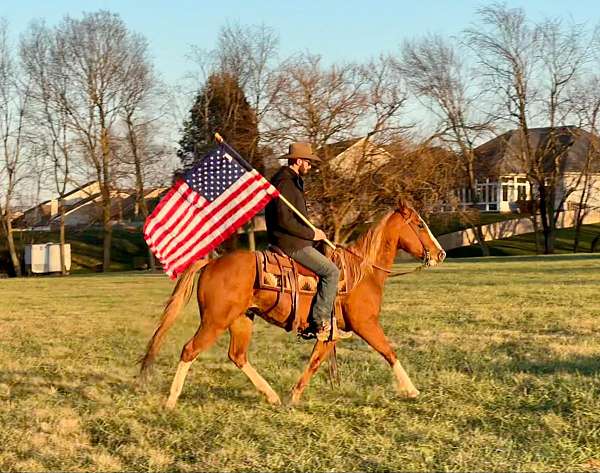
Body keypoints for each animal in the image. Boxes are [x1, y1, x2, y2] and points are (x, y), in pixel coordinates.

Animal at [141, 199, 446, 406]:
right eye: (420, 225)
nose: (441, 253)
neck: (362, 272)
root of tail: (212, 262)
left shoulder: (331, 335)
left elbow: (314, 362)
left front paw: (292, 397)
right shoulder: (366, 324)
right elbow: (389, 352)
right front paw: (411, 389)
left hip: (241, 320)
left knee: (237, 356)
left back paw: (272, 395)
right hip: (214, 321)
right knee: (189, 350)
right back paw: (171, 401)